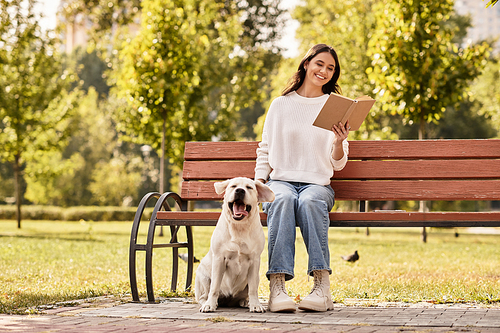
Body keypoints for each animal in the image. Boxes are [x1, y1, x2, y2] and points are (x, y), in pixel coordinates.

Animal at [194, 178, 274, 310]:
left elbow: (253, 289)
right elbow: (214, 287)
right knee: (203, 296)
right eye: (233, 186)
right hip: (203, 276)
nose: (240, 191)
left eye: (249, 187)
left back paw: (245, 302)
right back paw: (207, 302)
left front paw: (255, 305)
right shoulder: (219, 259)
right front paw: (210, 304)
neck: (239, 227)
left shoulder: (254, 261)